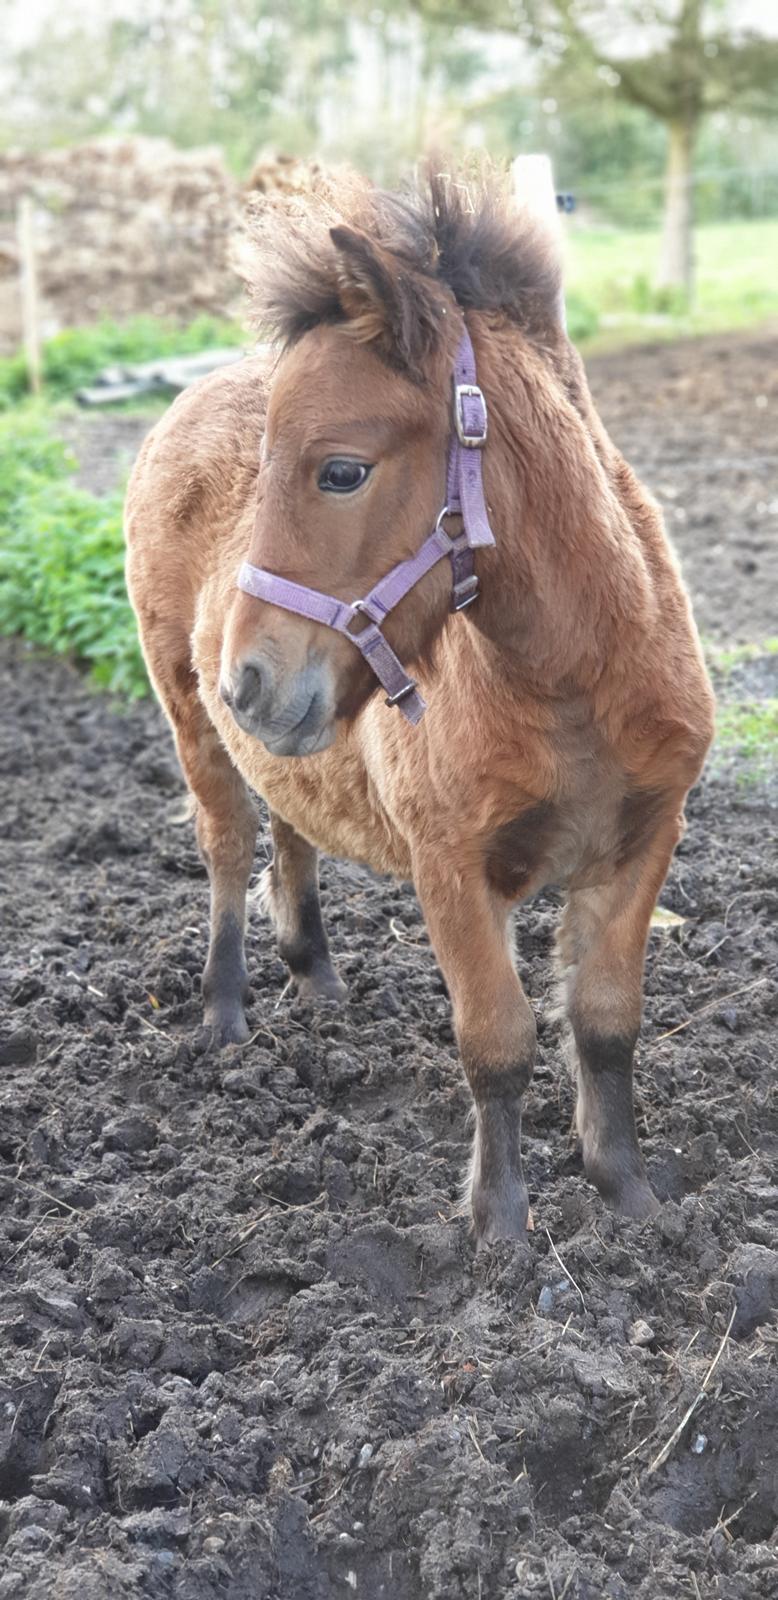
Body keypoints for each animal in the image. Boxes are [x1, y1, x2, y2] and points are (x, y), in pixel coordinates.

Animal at [124, 162, 713, 1241]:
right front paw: (500, 1230)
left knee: (292, 825)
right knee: (229, 842)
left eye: (341, 469)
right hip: (190, 720)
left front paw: (629, 1199)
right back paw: (224, 1016)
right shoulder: (451, 867)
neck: (573, 684)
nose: (249, 681)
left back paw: (314, 976)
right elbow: (497, 1039)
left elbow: (606, 1022)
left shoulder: (643, 841)